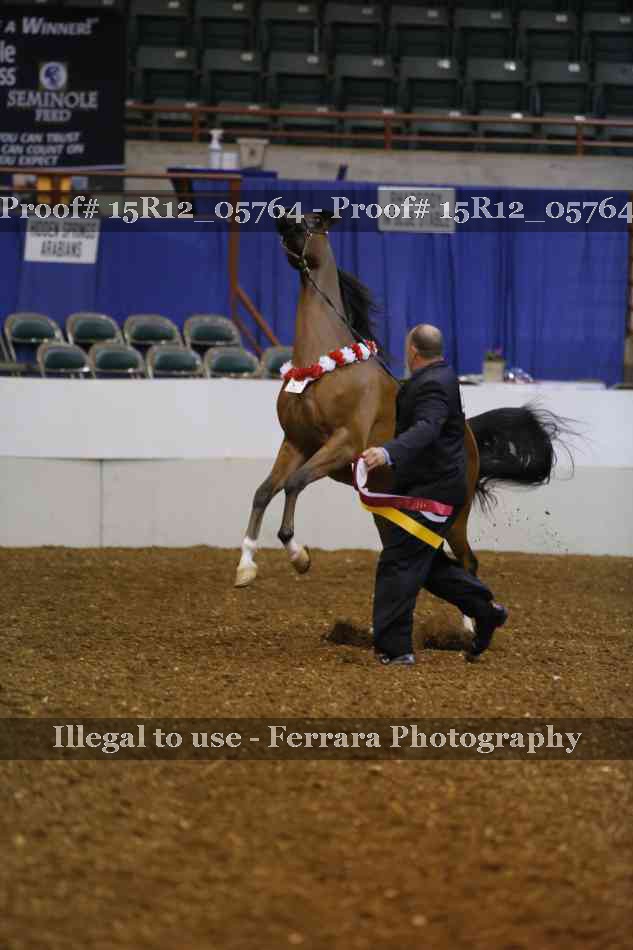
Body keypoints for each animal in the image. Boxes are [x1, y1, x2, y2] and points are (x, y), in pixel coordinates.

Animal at [234, 210, 567, 636]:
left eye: (313, 221)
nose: (280, 220)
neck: (323, 367)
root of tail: (470, 436)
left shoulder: (342, 443)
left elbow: (294, 484)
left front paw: (299, 556)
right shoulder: (295, 443)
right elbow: (264, 491)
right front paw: (246, 567)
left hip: (454, 514)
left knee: (465, 560)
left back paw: (471, 625)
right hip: (392, 510)